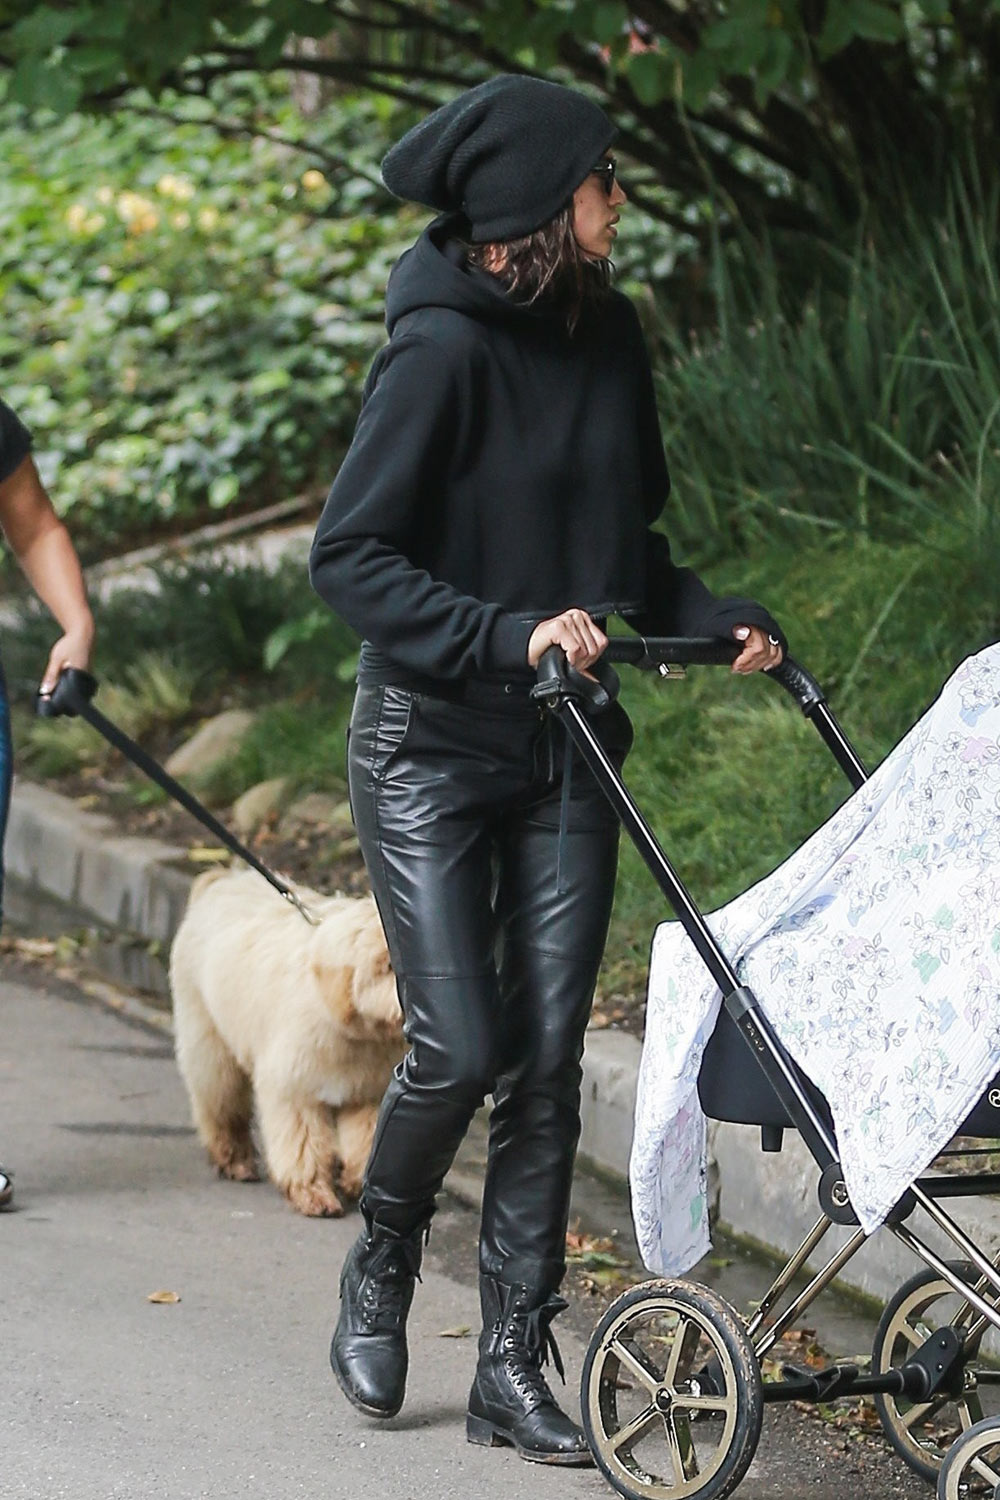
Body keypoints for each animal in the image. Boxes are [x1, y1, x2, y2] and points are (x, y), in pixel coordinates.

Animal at [170, 870, 404, 1218]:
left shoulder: (368, 1094)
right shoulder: (294, 1089)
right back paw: (235, 1159)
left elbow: (369, 1139)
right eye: (388, 965)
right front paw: (313, 1192)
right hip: (210, 1047)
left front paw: (357, 1182)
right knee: (221, 1107)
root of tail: (221, 881)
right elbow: (302, 1142)